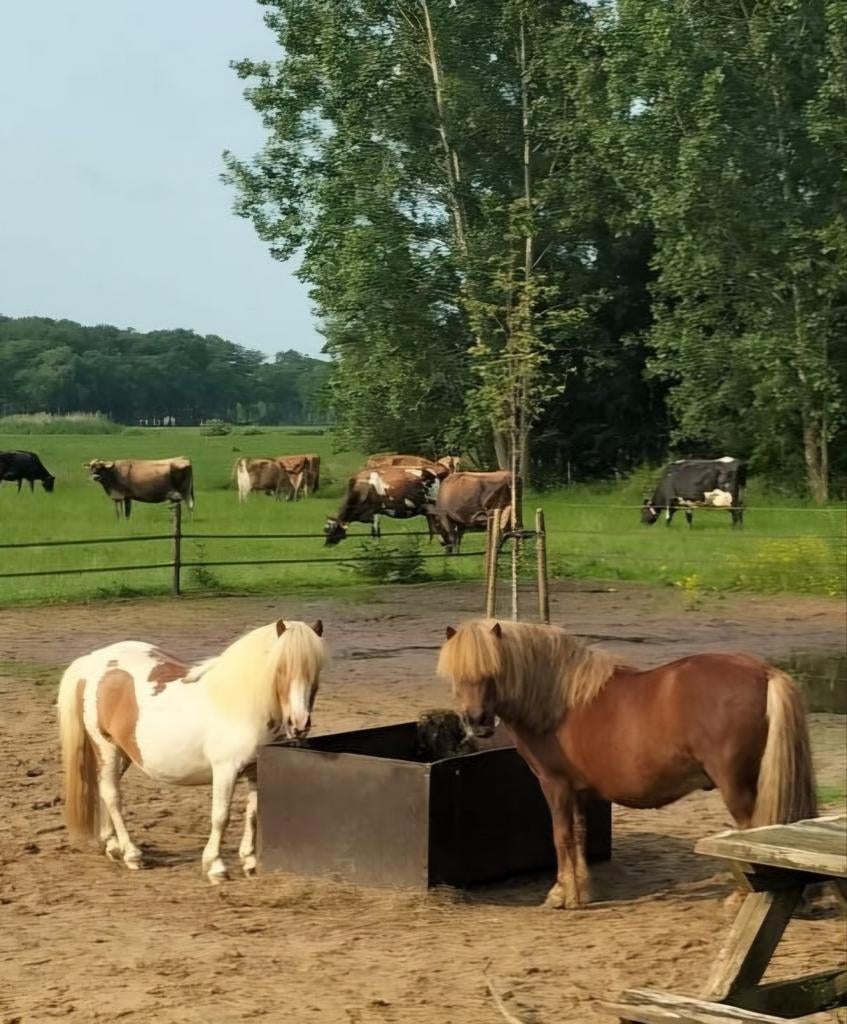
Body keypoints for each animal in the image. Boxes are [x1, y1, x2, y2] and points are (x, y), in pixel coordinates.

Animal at [57, 618, 327, 883]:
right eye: (280, 668)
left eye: (315, 670)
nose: (299, 724)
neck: (239, 704)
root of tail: (92, 661)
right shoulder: (225, 771)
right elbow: (221, 816)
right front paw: (215, 867)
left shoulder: (255, 770)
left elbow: (252, 814)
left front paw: (249, 862)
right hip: (107, 747)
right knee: (112, 795)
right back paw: (132, 854)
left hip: (123, 753)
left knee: (104, 790)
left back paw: (113, 846)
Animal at [437, 619, 816, 910]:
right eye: (457, 675)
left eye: (493, 671)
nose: (476, 722)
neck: (556, 702)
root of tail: (764, 673)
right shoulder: (580, 790)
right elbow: (579, 833)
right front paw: (580, 888)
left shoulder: (555, 785)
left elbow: (560, 836)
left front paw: (565, 895)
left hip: (737, 786)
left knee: (750, 831)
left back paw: (740, 896)